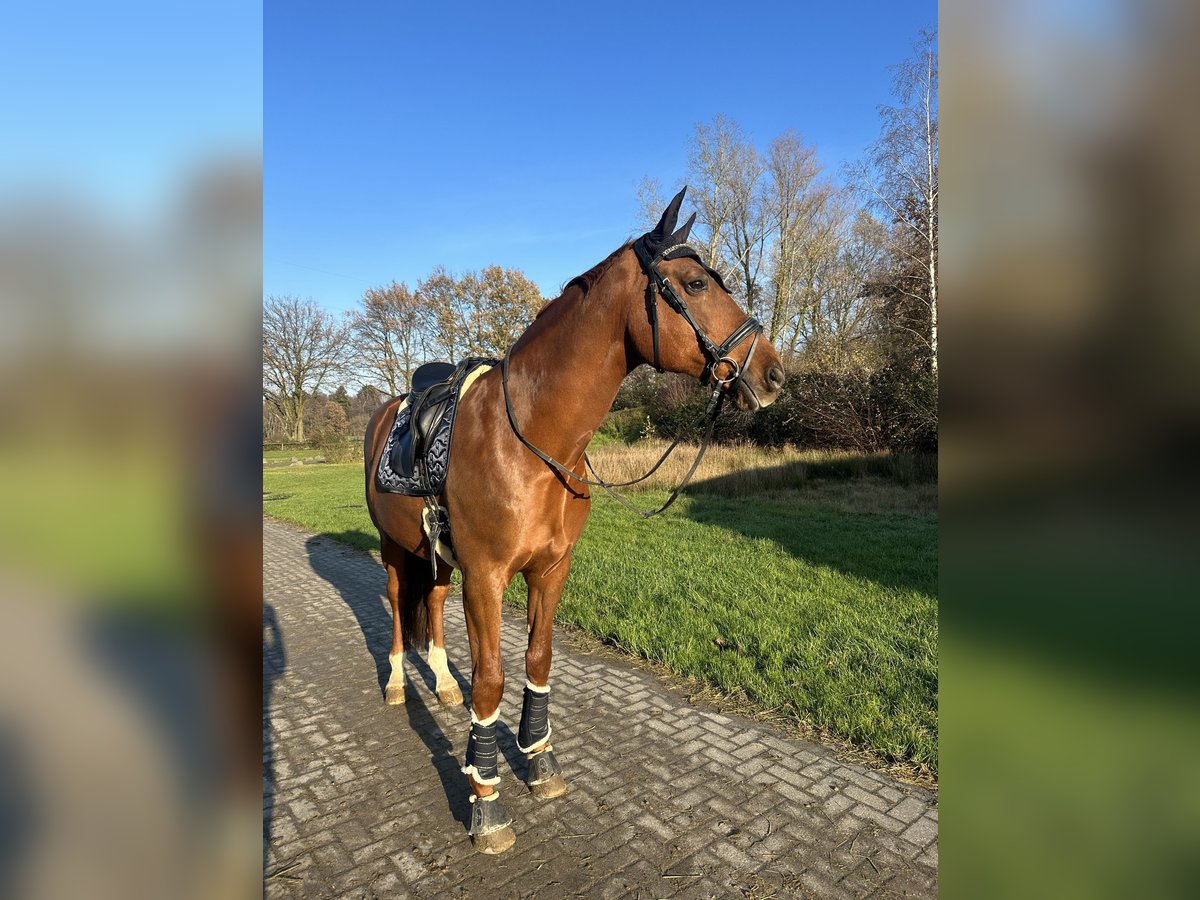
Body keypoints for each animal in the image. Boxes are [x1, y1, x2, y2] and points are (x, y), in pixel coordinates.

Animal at [360, 190, 782, 854]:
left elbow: (538, 660)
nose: (772, 374)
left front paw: (538, 760)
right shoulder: (487, 577)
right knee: (402, 608)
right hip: (394, 548)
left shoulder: (551, 570)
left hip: (438, 558)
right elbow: (492, 681)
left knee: (431, 602)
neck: (532, 439)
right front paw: (486, 800)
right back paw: (400, 683)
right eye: (694, 283)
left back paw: (443, 684)